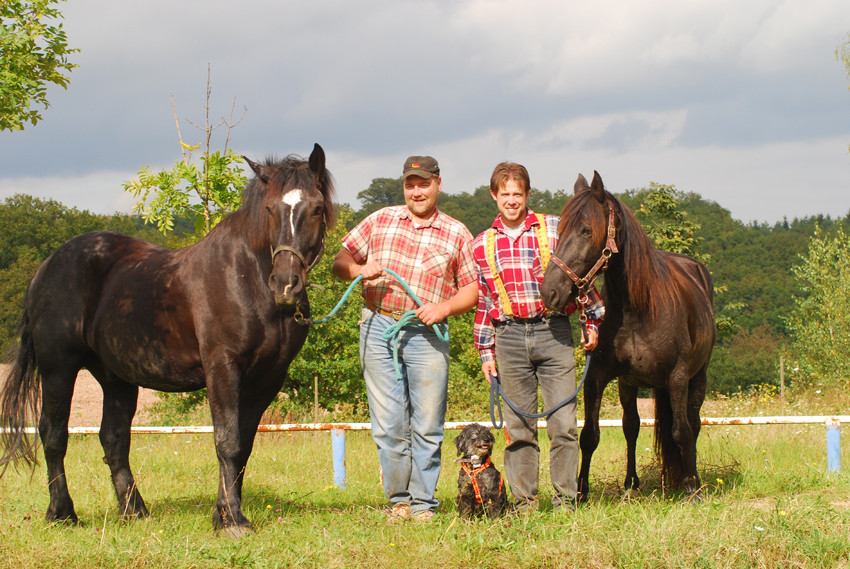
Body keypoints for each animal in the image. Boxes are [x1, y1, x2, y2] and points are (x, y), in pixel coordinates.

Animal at [0, 142, 334, 532]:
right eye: (269, 209)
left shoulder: (267, 379)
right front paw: (233, 520)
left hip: (116, 377)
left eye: (316, 208)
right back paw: (62, 513)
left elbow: (244, 446)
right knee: (53, 434)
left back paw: (134, 510)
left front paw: (223, 513)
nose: (285, 284)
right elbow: (227, 441)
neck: (246, 277)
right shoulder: (222, 368)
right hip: (58, 369)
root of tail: (47, 267)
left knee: (113, 439)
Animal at [540, 171, 712, 500]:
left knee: (693, 423)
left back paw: (693, 478)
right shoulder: (598, 377)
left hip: (699, 376)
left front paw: (691, 488)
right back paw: (631, 483)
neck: (637, 309)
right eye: (561, 228)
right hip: (628, 383)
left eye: (586, 230)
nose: (549, 291)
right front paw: (581, 492)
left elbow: (682, 430)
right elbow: (590, 434)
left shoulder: (678, 377)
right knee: (631, 426)